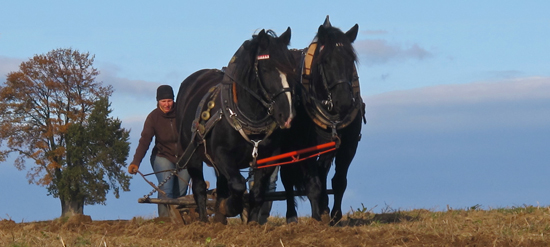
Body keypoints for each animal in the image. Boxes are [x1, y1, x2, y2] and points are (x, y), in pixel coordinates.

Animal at [176, 28, 298, 223]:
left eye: (292, 69)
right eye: (266, 69)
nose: (287, 116)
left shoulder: (269, 158)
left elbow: (257, 192)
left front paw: (252, 221)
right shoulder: (222, 155)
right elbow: (239, 185)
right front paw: (229, 207)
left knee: (221, 185)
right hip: (191, 153)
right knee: (199, 187)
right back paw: (204, 220)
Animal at [280, 16, 366, 225]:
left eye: (351, 60)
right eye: (325, 61)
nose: (344, 101)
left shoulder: (348, 145)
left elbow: (338, 181)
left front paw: (334, 215)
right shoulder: (304, 147)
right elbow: (313, 184)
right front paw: (317, 218)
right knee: (287, 178)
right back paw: (291, 216)